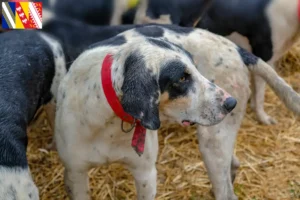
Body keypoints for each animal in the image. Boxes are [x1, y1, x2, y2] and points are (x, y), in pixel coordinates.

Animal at [52, 25, 300, 200]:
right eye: (181, 78)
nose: (231, 103)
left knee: (227, 192)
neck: (110, 121)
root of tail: (236, 48)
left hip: (213, 141)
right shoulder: (76, 174)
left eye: (195, 69)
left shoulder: (145, 174)